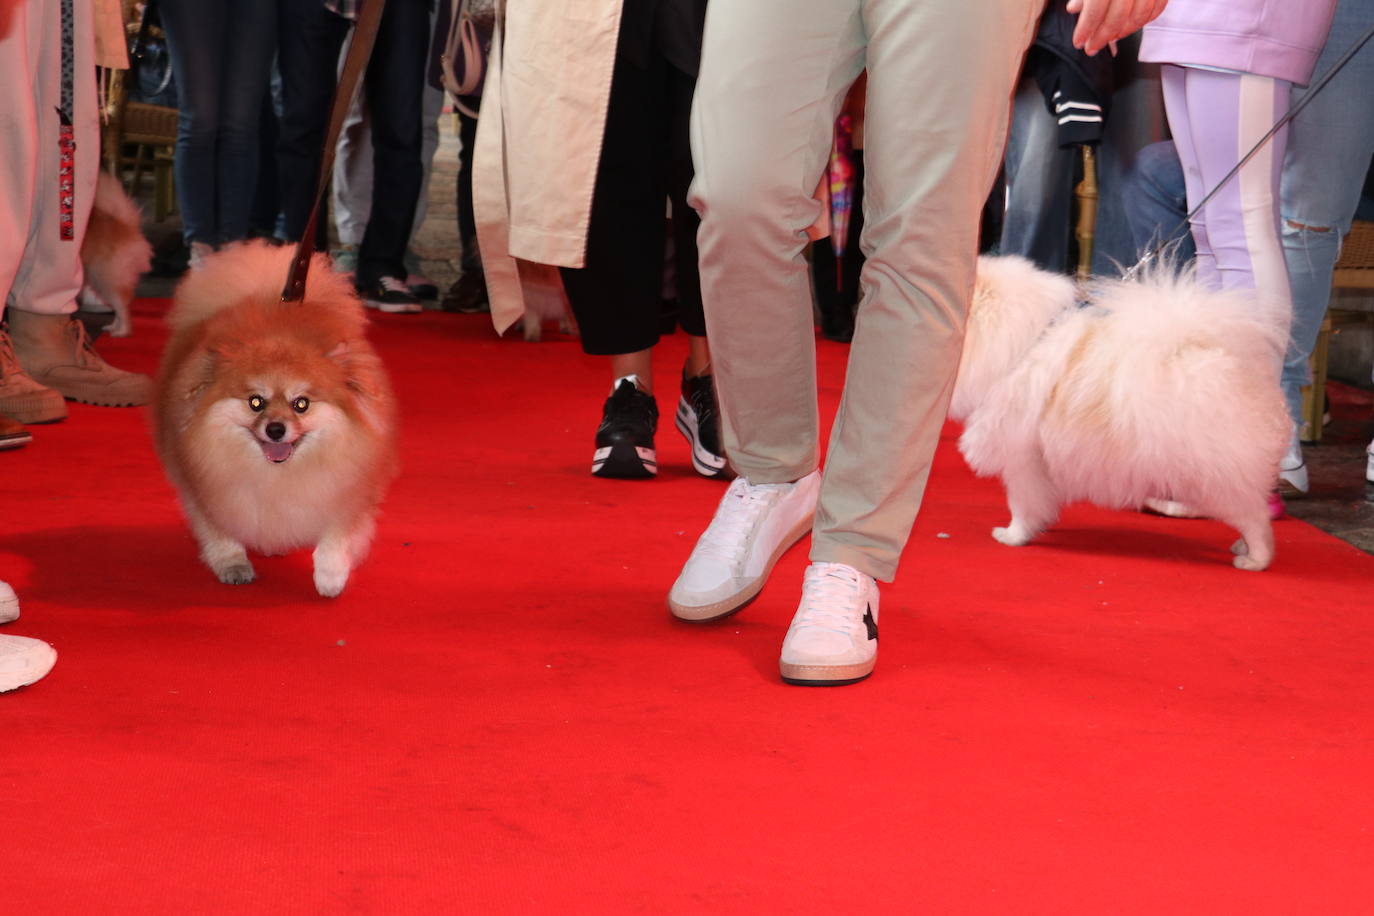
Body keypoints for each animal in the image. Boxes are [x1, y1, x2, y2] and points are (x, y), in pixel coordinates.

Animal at [158, 243, 401, 598]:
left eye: (301, 404)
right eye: (255, 402)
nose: (275, 429)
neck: (278, 476)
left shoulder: (349, 488)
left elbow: (336, 537)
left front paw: (330, 577)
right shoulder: (207, 488)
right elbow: (220, 533)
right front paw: (233, 565)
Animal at [950, 254, 1291, 568]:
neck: (1021, 342)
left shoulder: (1023, 460)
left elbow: (1021, 505)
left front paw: (1012, 536)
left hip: (1216, 474)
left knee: (1255, 519)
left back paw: (1254, 559)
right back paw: (1241, 545)